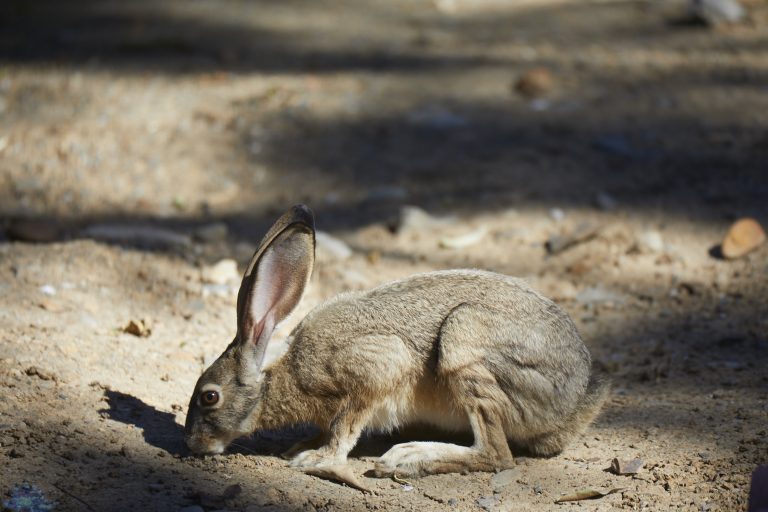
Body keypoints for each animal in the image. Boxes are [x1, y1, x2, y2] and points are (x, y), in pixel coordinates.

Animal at [184, 204, 609, 477]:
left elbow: (346, 425)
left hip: (463, 343)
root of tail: (575, 402)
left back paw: (408, 458)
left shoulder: (377, 368)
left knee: (496, 454)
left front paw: (316, 459)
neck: (279, 376)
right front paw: (300, 447)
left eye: (209, 396)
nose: (192, 445)